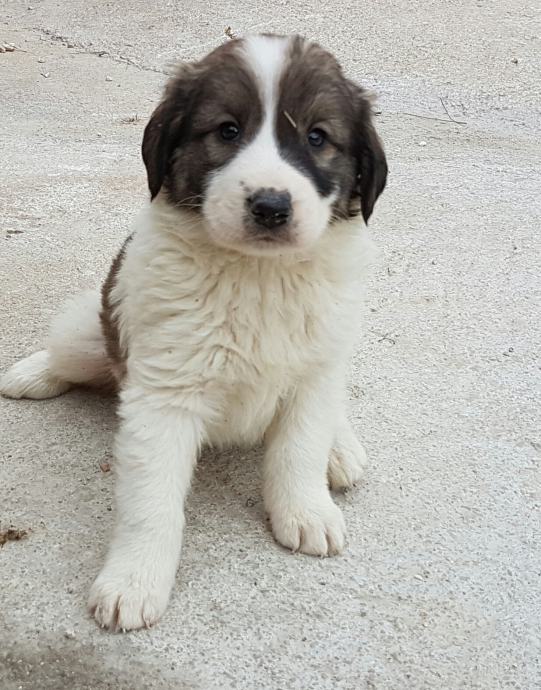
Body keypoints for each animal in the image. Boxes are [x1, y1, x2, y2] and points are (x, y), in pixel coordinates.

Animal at [0, 33, 387, 631]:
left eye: (317, 137)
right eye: (227, 130)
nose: (270, 206)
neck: (257, 274)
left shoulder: (313, 373)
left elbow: (299, 448)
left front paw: (305, 509)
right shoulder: (165, 395)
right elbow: (152, 503)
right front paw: (134, 581)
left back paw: (340, 450)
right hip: (92, 330)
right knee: (69, 350)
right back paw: (31, 373)